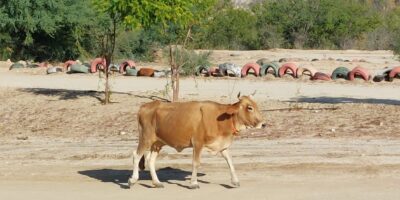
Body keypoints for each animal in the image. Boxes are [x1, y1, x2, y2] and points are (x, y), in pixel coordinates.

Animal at [128, 94, 266, 189]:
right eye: (249, 108)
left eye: (256, 106)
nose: (263, 124)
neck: (220, 119)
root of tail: (145, 106)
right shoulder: (198, 143)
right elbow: (196, 163)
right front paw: (193, 183)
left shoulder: (222, 145)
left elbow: (230, 162)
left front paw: (235, 181)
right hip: (146, 138)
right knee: (136, 155)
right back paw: (133, 180)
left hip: (157, 143)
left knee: (150, 160)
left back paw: (157, 182)